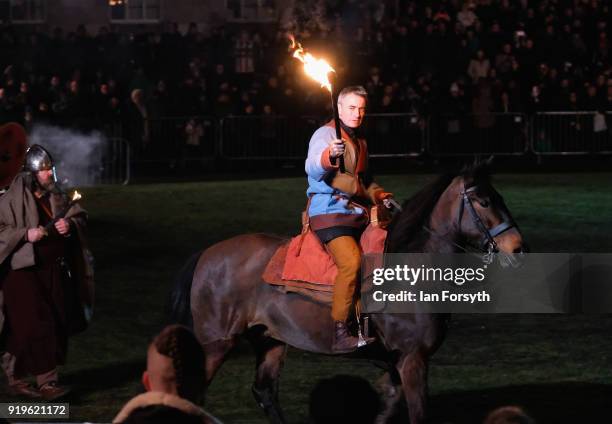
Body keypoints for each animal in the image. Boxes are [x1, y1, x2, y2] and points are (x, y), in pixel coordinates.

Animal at [172, 161, 524, 420]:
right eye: (484, 201)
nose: (518, 247)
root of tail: (205, 254)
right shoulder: (413, 360)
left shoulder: (396, 362)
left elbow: (388, 404)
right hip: (217, 344)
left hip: (269, 340)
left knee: (264, 392)